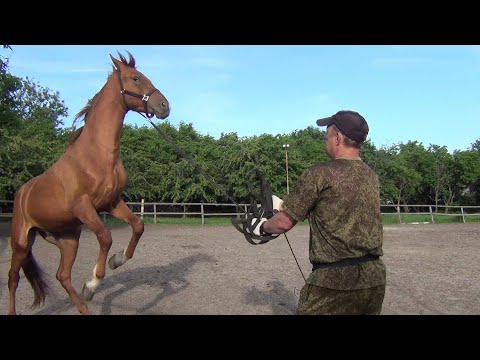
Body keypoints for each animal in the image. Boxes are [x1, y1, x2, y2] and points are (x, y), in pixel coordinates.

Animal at [7, 51, 171, 316]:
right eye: (135, 77)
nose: (164, 106)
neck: (97, 154)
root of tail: (22, 192)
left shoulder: (110, 202)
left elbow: (138, 226)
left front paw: (116, 262)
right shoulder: (83, 207)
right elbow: (105, 237)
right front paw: (94, 283)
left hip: (69, 239)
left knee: (62, 276)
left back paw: (84, 306)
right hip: (21, 242)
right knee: (13, 278)